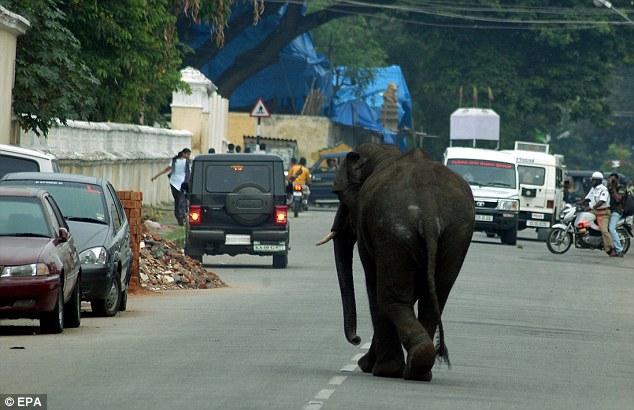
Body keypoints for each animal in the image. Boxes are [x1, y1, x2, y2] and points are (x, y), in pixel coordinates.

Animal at [318, 143, 472, 382]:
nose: (357, 339)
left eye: (341, 197)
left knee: (389, 298)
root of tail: (428, 213)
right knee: (433, 299)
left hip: (393, 230)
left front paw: (372, 367)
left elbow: (373, 282)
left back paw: (395, 370)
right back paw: (420, 369)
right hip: (455, 235)